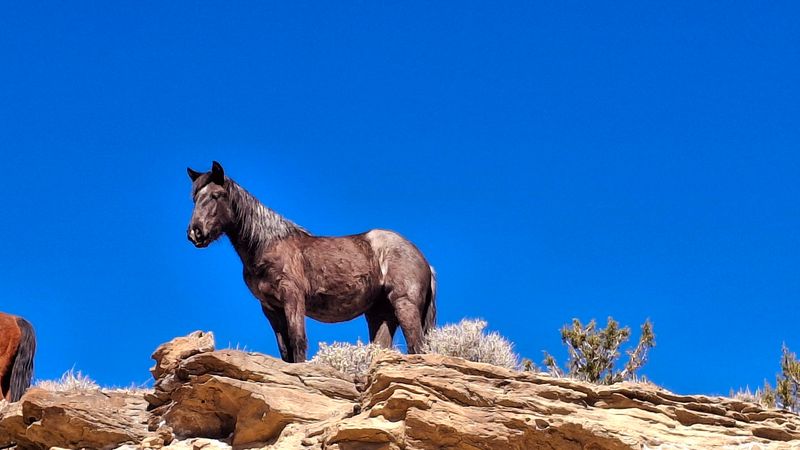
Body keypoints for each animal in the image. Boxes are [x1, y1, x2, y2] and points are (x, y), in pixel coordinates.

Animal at [186, 161, 436, 363]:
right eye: (195, 197)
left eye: (216, 195)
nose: (195, 233)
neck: (266, 245)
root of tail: (424, 261)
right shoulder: (270, 308)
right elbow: (285, 349)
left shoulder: (293, 297)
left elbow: (298, 341)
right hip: (380, 314)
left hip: (404, 304)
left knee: (417, 346)